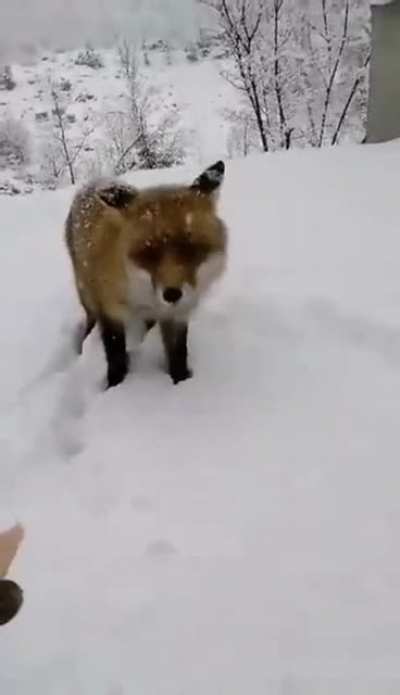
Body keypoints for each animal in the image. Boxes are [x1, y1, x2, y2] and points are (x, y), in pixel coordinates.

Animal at [65, 160, 227, 388]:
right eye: (148, 253)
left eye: (191, 249)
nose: (172, 294)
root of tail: (95, 181)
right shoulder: (111, 312)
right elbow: (115, 356)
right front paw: (115, 386)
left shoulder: (176, 315)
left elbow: (178, 353)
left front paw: (181, 382)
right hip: (87, 295)